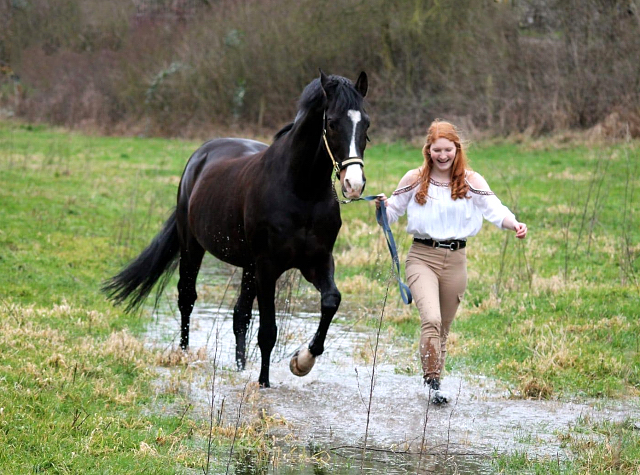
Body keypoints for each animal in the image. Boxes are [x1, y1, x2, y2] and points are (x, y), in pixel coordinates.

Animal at [104, 70, 370, 388]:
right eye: (332, 123)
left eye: (366, 124)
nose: (354, 184)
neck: (302, 191)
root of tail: (200, 156)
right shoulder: (268, 267)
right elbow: (268, 330)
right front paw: (264, 383)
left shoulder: (317, 262)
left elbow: (330, 301)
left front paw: (301, 361)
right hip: (193, 246)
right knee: (187, 297)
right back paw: (184, 353)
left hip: (247, 265)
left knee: (239, 314)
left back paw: (240, 366)